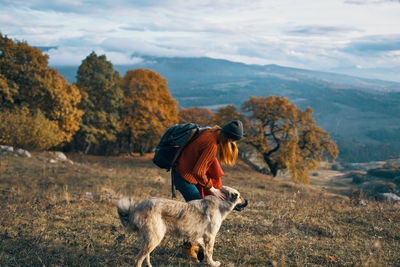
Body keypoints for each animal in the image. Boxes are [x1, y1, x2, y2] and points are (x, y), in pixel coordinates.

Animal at [116, 186, 247, 267]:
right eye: (239, 196)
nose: (247, 202)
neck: (220, 203)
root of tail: (137, 208)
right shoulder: (210, 236)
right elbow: (209, 252)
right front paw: (212, 263)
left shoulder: (200, 236)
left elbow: (204, 248)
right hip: (155, 238)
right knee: (137, 259)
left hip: (151, 238)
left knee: (145, 256)